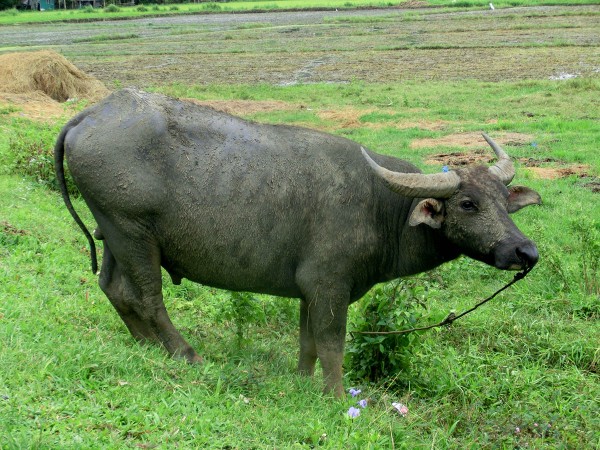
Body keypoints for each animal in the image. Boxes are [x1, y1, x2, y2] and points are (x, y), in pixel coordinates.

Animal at [55, 89, 540, 398]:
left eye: (504, 201)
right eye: (468, 203)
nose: (525, 252)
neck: (383, 208)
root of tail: (91, 114)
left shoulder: (310, 288)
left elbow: (307, 341)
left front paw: (303, 382)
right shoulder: (330, 286)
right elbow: (331, 342)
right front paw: (335, 395)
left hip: (113, 231)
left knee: (115, 289)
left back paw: (146, 346)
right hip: (133, 232)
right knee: (148, 298)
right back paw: (186, 354)